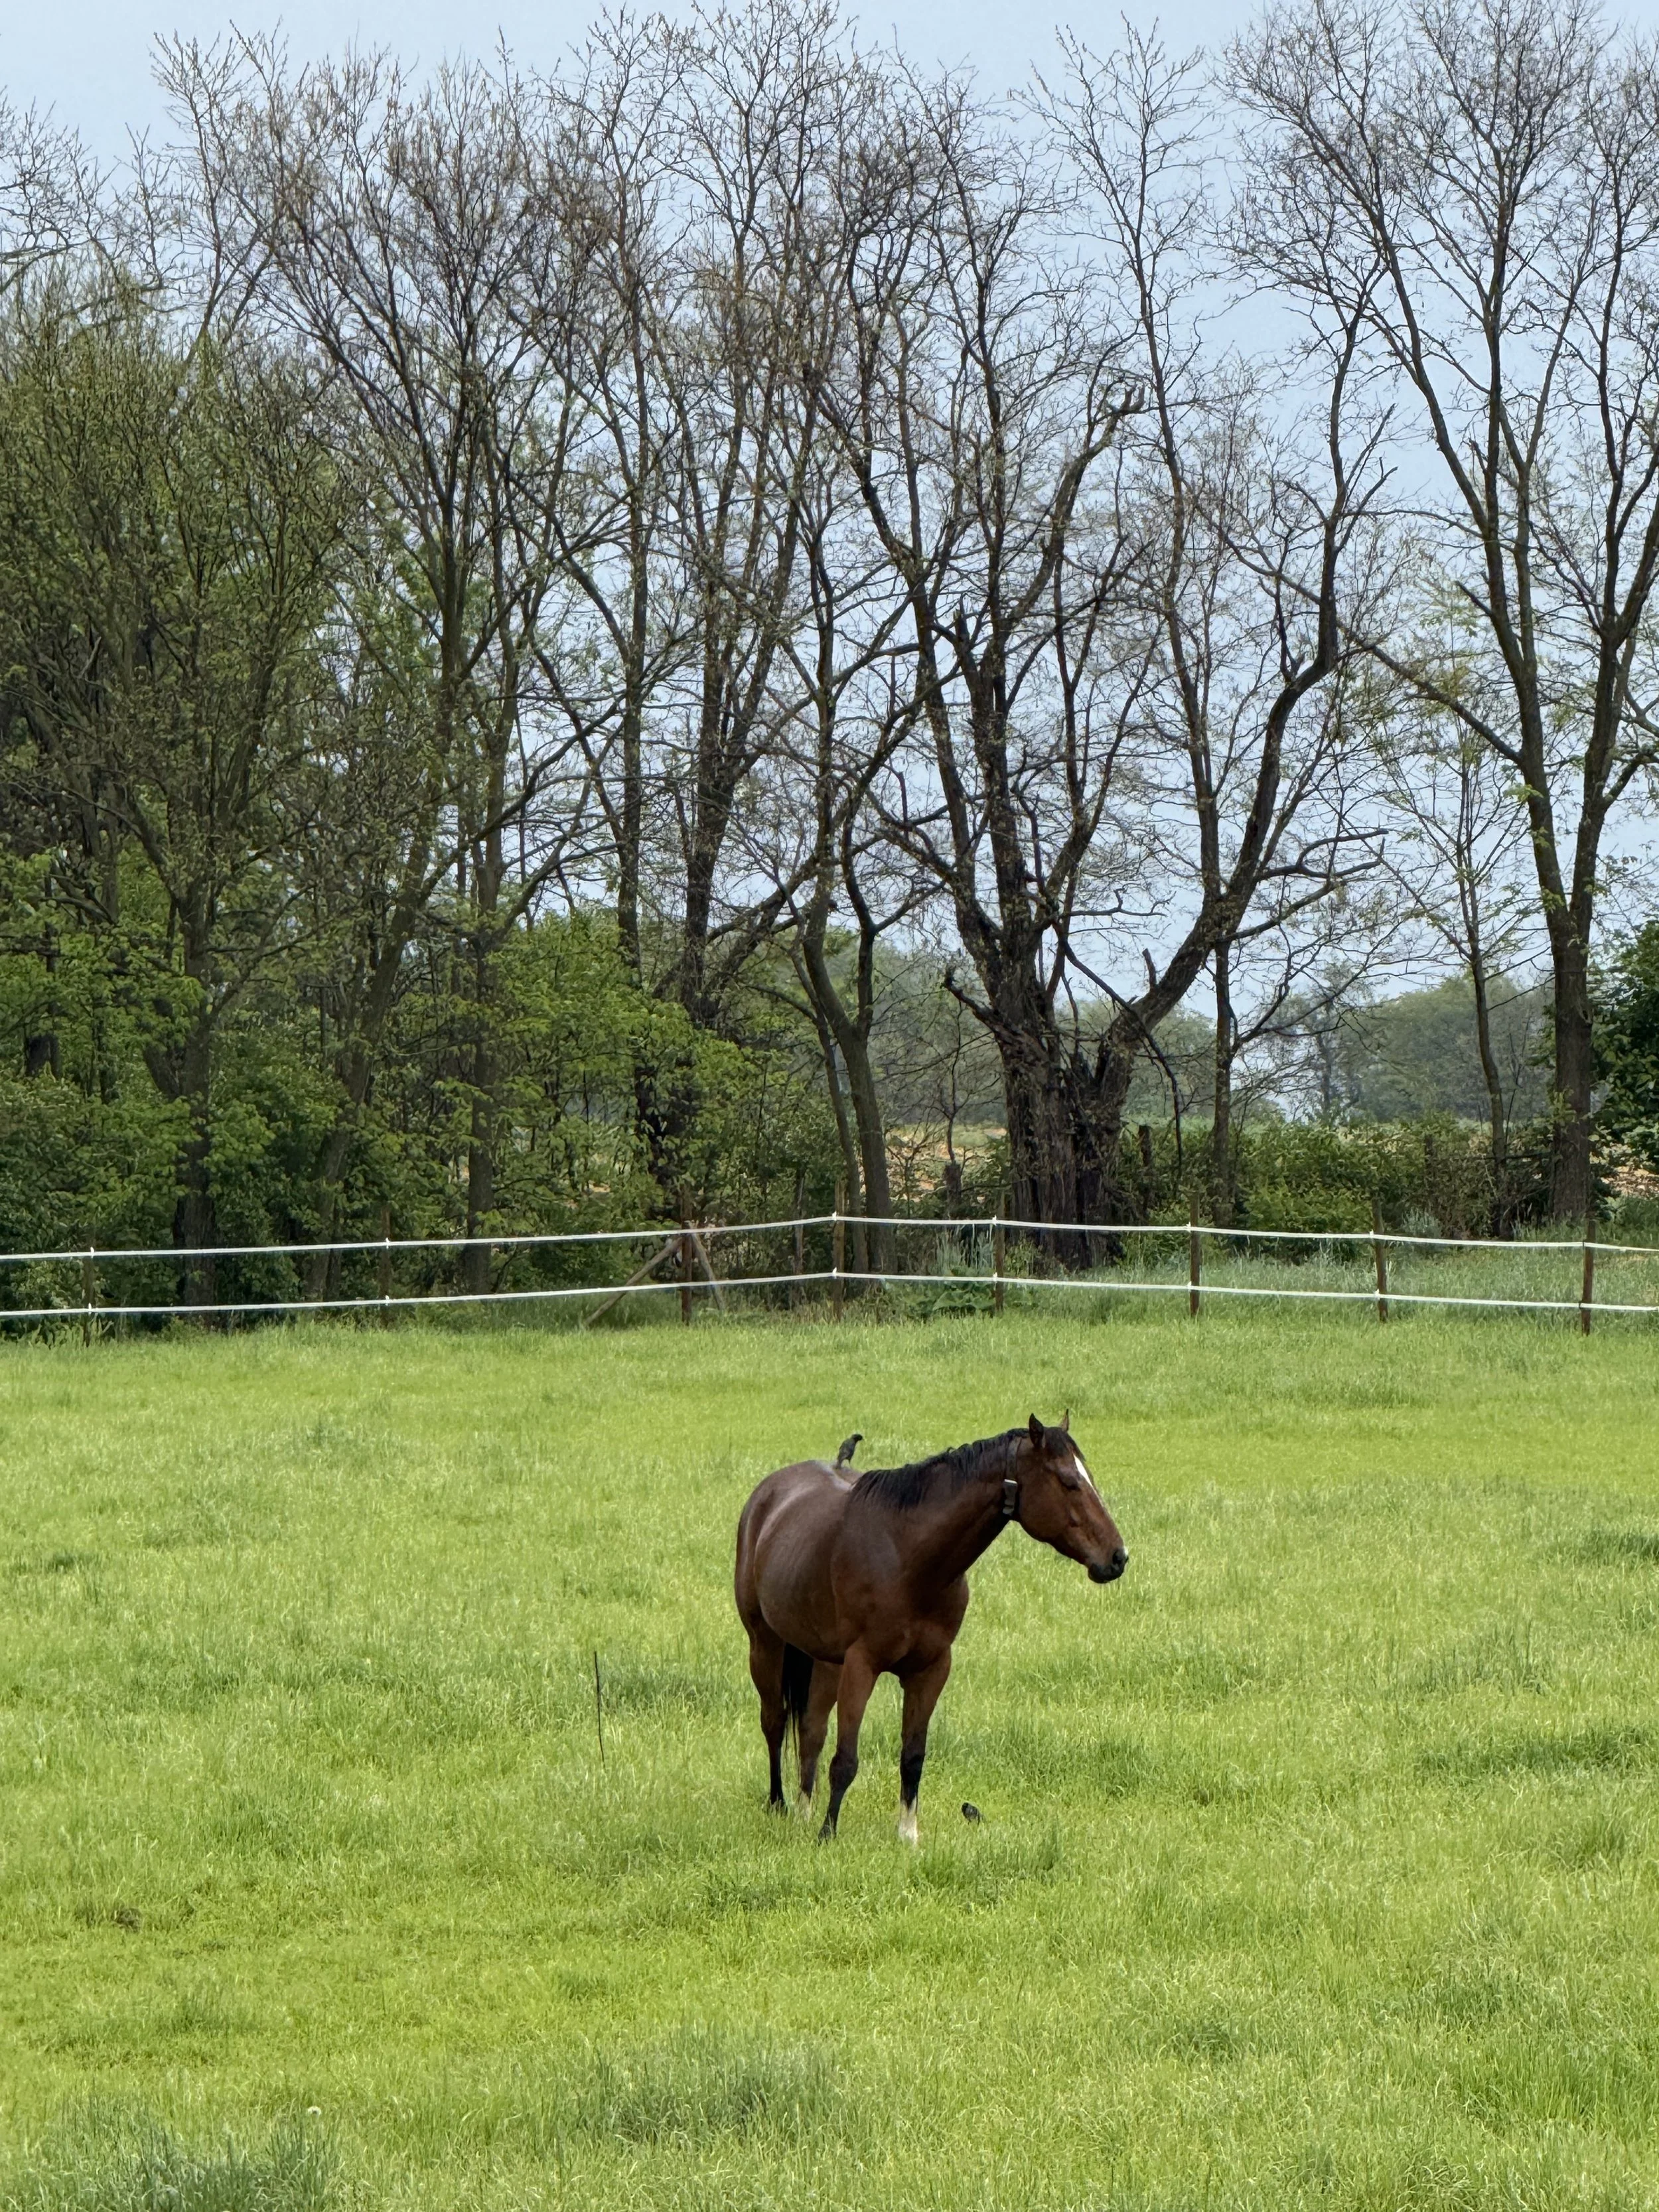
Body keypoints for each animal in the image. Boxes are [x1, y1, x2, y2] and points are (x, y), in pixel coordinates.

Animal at [734, 1414, 1127, 1844]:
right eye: (1068, 1482)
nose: (1118, 1557)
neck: (909, 1555)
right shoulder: (862, 1665)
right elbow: (846, 1759)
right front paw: (828, 1834)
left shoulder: (931, 1669)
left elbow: (913, 1756)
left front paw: (908, 1835)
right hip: (765, 1642)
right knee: (774, 1722)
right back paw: (780, 1805)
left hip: (824, 1659)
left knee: (810, 1730)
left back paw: (804, 1812)